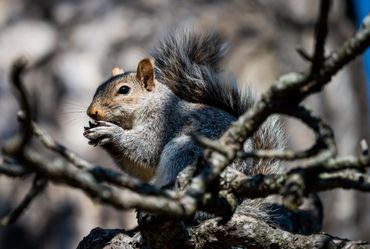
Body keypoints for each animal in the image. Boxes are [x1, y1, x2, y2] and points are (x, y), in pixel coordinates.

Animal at [84, 30, 286, 189]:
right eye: (98, 87)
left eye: (124, 90)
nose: (91, 112)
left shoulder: (163, 123)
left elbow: (146, 149)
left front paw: (111, 132)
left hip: (186, 151)